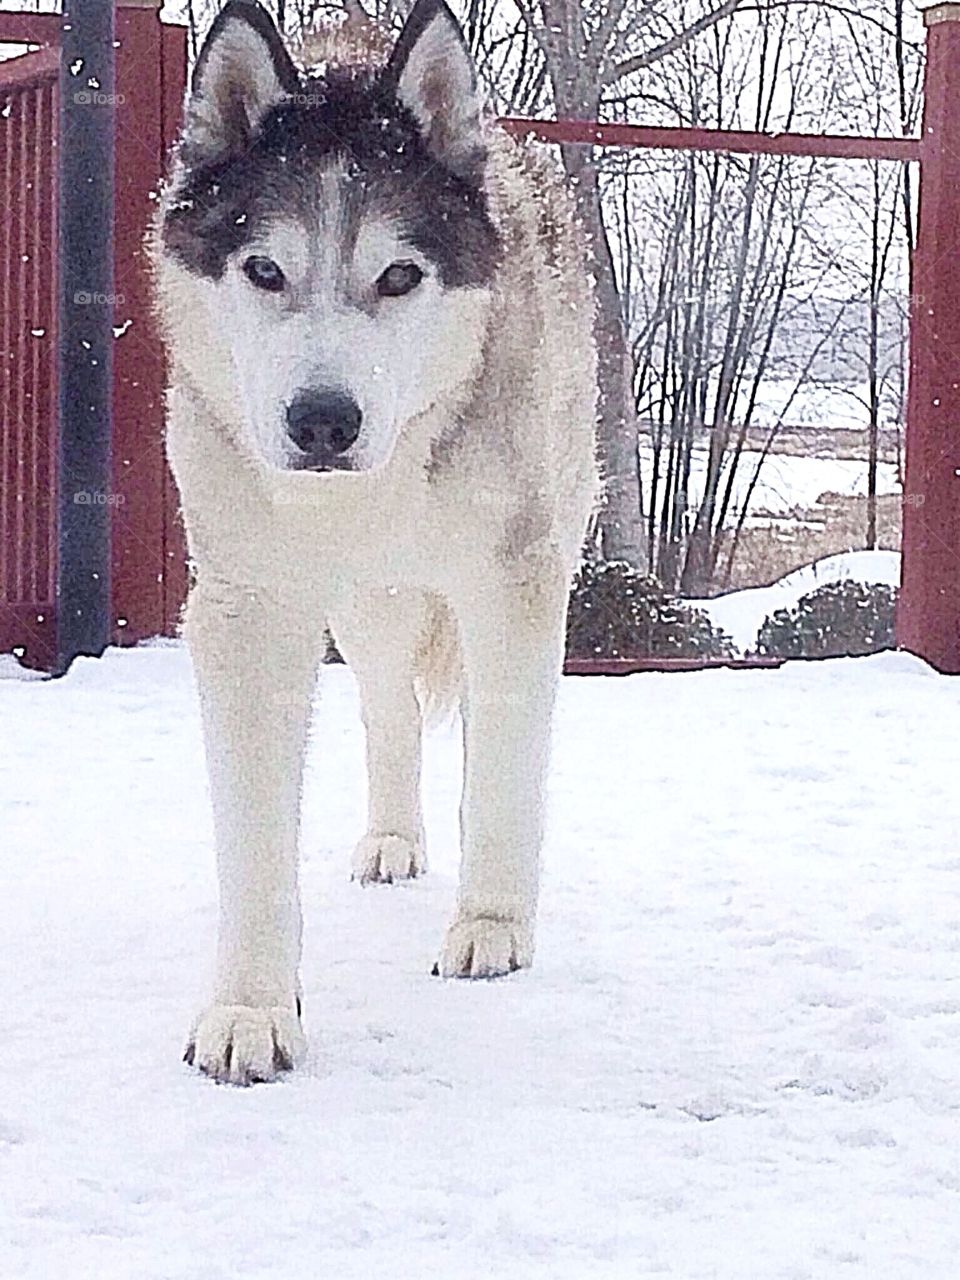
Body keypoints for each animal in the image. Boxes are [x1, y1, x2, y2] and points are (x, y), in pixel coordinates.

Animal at [152, 0, 599, 1085]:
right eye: (263, 268)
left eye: (400, 274)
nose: (323, 420)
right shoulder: (248, 604)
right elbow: (254, 835)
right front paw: (250, 1007)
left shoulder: (511, 583)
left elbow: (506, 763)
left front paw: (492, 926)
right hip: (369, 608)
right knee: (389, 709)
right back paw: (393, 838)